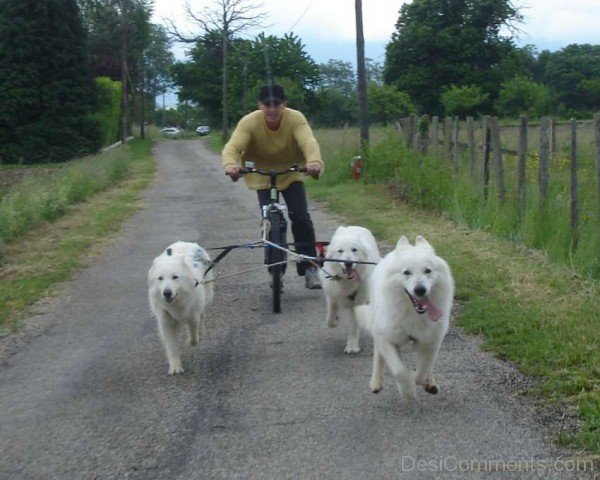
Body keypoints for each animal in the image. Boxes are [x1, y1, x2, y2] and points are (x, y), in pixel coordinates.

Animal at [148, 242, 216, 374]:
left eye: (175, 277)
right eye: (160, 278)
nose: (167, 293)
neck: (176, 303)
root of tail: (187, 243)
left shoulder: (192, 315)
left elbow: (193, 331)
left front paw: (192, 340)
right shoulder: (165, 322)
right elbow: (171, 347)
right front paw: (175, 367)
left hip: (207, 296)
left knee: (202, 315)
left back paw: (201, 331)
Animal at [356, 236, 454, 402]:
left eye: (428, 270)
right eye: (406, 272)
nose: (420, 290)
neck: (413, 313)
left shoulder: (432, 341)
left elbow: (423, 369)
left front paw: (419, 380)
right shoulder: (387, 339)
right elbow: (399, 371)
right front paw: (408, 393)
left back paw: (431, 383)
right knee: (378, 356)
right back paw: (375, 383)